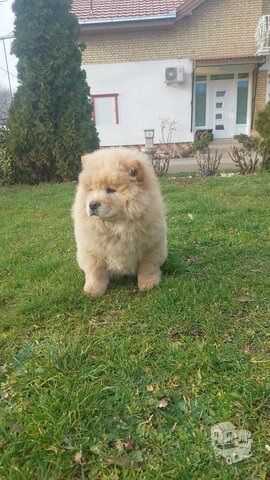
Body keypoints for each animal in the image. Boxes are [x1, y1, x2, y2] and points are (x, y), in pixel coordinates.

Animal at [73, 146, 168, 296]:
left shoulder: (150, 248)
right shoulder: (93, 251)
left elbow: (148, 268)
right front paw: (93, 291)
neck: (116, 226)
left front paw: (148, 284)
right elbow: (96, 273)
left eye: (111, 190)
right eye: (92, 190)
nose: (92, 205)